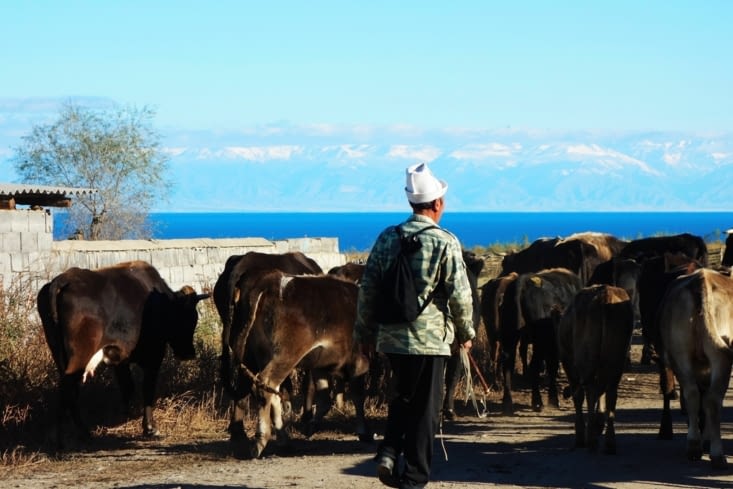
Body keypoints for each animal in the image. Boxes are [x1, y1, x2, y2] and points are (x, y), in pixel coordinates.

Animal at [36, 261, 209, 446]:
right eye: (189, 319)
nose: (189, 353)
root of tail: (64, 279)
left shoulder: (119, 360)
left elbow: (127, 387)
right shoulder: (153, 357)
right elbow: (147, 389)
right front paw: (150, 428)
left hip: (60, 356)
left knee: (70, 392)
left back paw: (81, 433)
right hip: (78, 358)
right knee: (68, 390)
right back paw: (63, 438)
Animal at [228, 270, 370, 458]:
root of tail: (271, 279)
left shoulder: (320, 365)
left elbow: (324, 399)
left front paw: (310, 427)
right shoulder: (360, 361)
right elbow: (358, 396)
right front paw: (363, 431)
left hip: (260, 355)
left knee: (271, 391)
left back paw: (284, 440)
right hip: (287, 354)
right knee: (266, 384)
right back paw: (261, 439)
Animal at [498, 268, 583, 414]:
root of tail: (523, 283)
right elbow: (553, 367)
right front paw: (554, 398)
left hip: (510, 337)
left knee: (508, 363)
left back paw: (507, 402)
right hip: (539, 343)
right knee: (534, 365)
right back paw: (537, 402)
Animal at [556, 285, 634, 454]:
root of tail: (605, 294)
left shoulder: (568, 362)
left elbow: (579, 396)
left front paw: (581, 435)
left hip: (585, 360)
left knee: (590, 390)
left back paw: (590, 439)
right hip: (616, 361)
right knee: (610, 392)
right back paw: (609, 442)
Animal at [658, 268, 733, 469]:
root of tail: (701, 280)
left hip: (680, 352)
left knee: (693, 394)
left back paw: (694, 447)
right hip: (716, 357)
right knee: (711, 400)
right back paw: (714, 452)